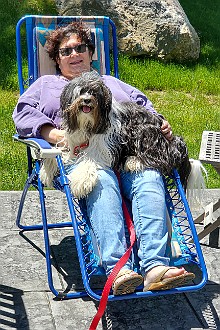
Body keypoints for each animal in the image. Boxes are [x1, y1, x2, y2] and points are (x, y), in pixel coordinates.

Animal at [40, 72, 192, 199]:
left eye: (94, 93)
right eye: (80, 92)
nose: (87, 100)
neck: (88, 125)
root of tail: (177, 143)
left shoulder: (104, 146)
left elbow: (91, 158)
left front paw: (81, 182)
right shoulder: (72, 141)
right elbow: (59, 151)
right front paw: (47, 169)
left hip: (143, 131)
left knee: (162, 159)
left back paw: (133, 161)